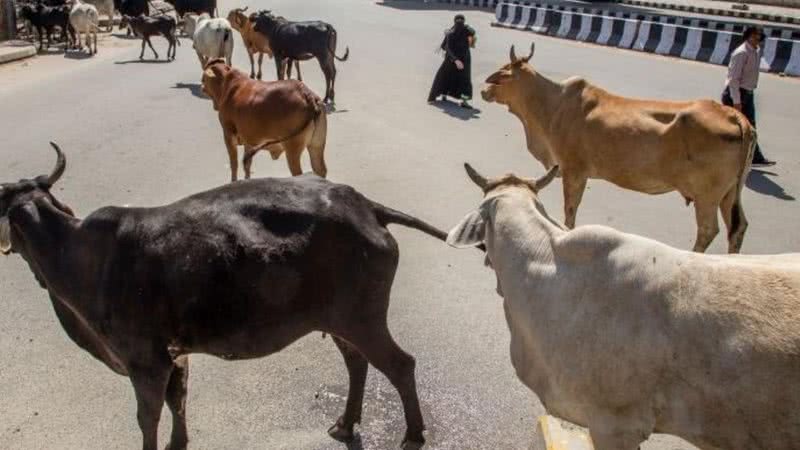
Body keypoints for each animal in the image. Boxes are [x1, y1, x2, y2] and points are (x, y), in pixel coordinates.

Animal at [1, 143, 444, 450]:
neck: (78, 255)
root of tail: (365, 205)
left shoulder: (145, 362)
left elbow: (148, 416)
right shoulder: (174, 356)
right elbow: (177, 402)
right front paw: (179, 443)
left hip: (363, 319)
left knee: (400, 364)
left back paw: (412, 434)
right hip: (340, 320)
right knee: (357, 362)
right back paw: (346, 423)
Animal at [482, 43, 756, 253]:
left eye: (503, 73)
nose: (484, 90)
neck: (552, 104)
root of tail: (735, 116)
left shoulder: (573, 171)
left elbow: (570, 211)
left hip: (707, 195)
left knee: (708, 230)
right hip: (730, 192)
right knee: (738, 228)